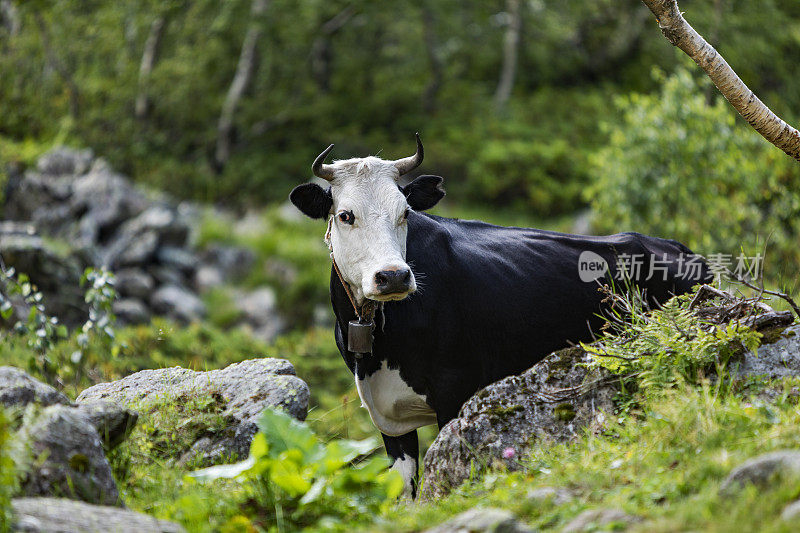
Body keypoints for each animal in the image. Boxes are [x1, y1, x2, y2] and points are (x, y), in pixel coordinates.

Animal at [290, 135, 712, 496]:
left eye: (404, 212)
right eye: (346, 215)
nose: (393, 275)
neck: (377, 344)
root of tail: (675, 246)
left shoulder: (455, 392)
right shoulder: (388, 419)